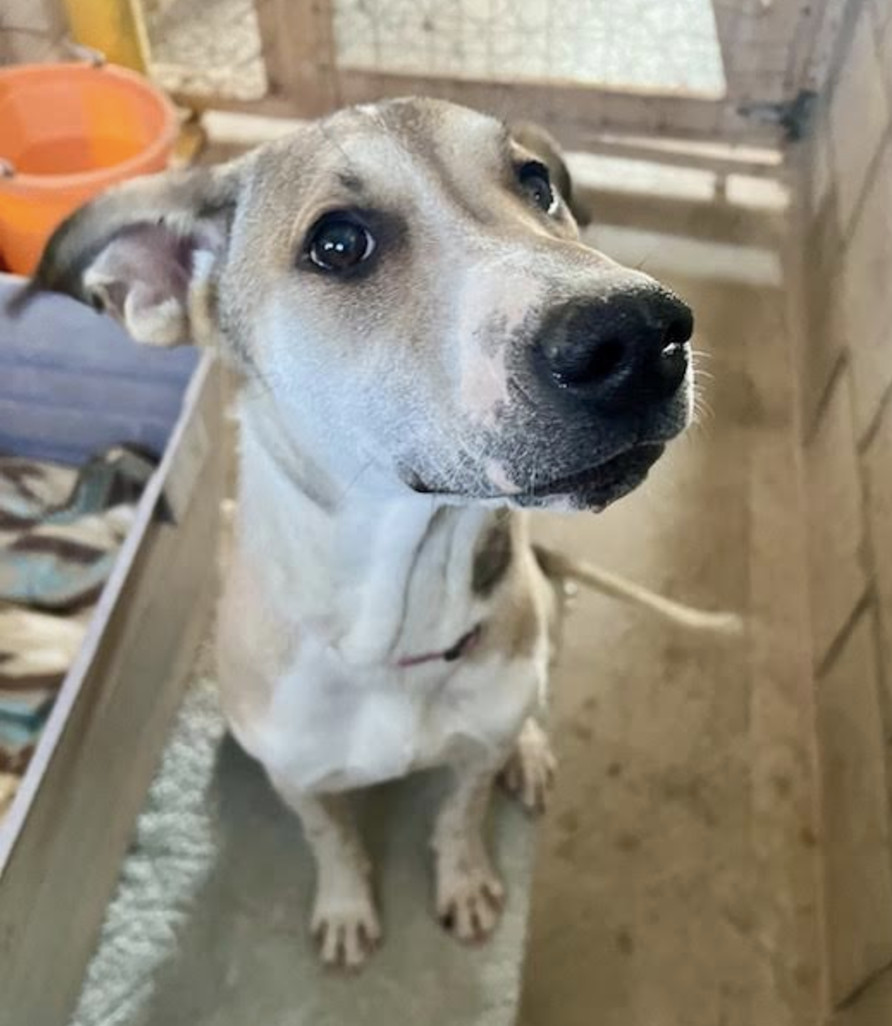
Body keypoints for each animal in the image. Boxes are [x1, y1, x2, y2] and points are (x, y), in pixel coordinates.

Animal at [15, 96, 697, 968]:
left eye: (536, 182)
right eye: (338, 243)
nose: (645, 335)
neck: (397, 628)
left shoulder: (475, 748)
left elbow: (461, 812)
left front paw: (466, 879)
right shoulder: (300, 780)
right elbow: (330, 840)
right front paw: (345, 907)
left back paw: (532, 752)